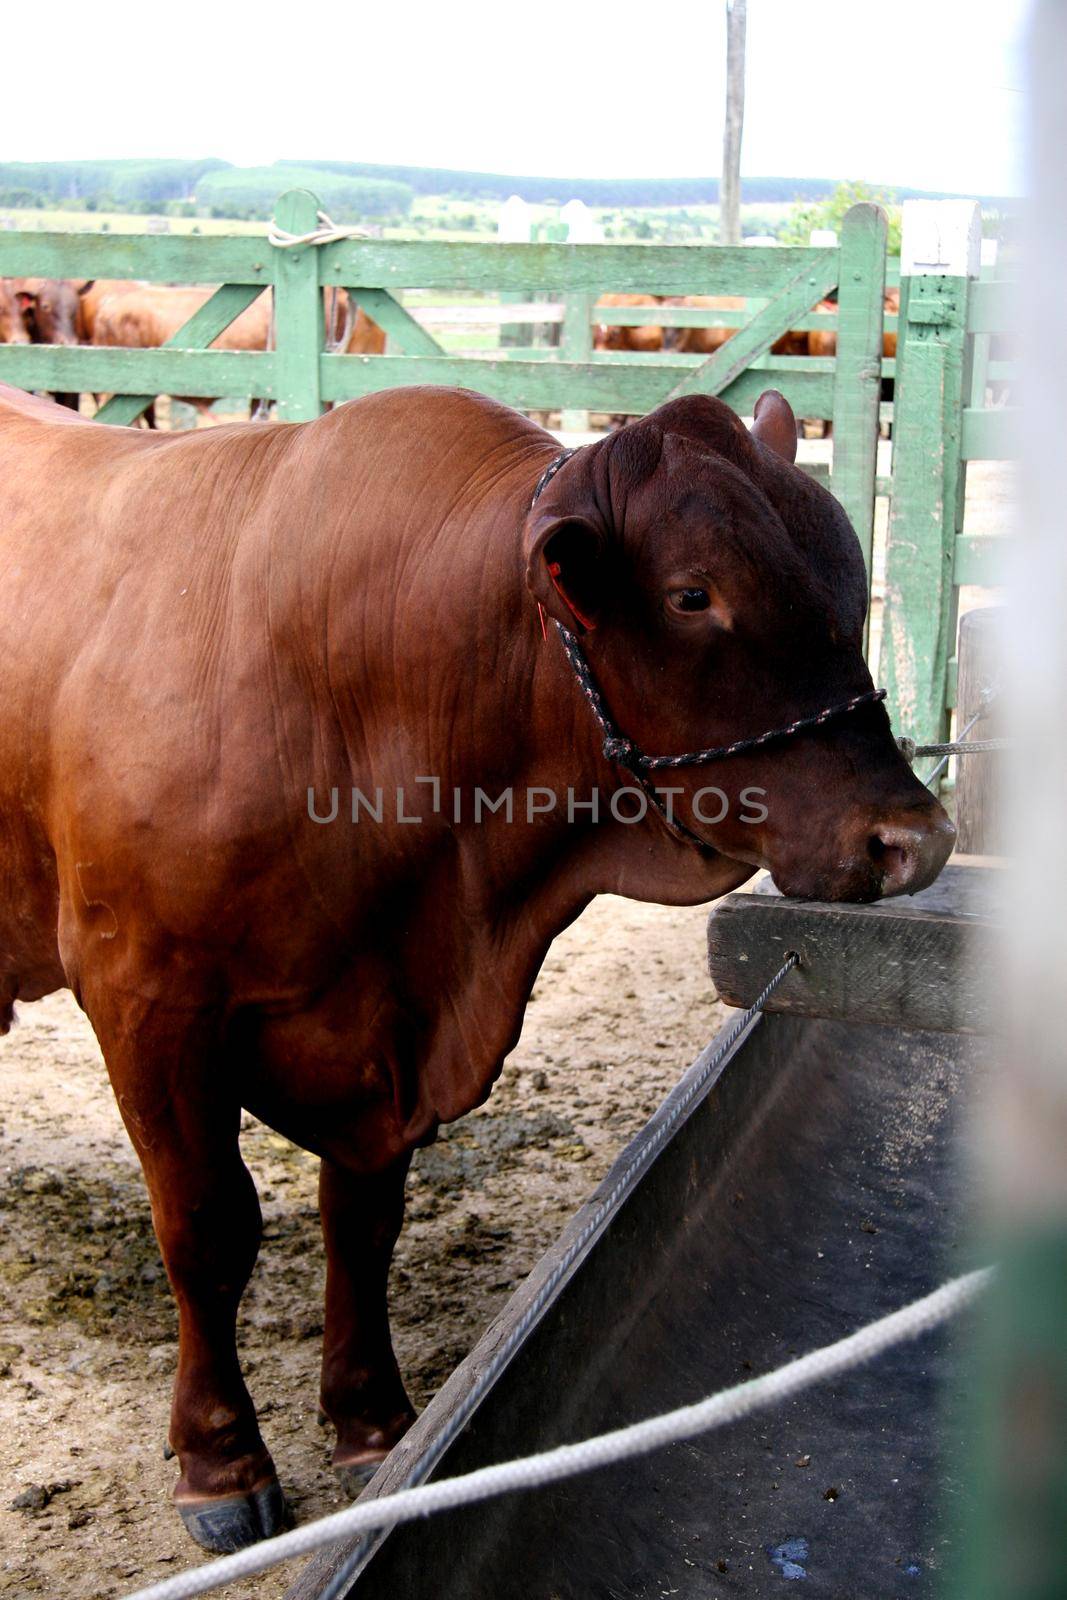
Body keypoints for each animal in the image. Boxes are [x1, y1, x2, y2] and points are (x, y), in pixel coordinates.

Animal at [0, 374, 953, 1548]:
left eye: (845, 571)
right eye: (692, 594)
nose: (911, 838)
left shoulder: (384, 1033)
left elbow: (362, 1222)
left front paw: (372, 1426)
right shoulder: (144, 998)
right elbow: (209, 1228)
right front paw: (222, 1461)